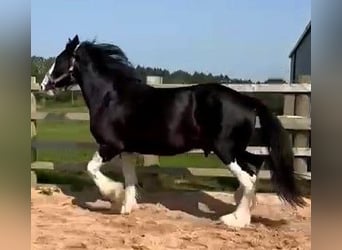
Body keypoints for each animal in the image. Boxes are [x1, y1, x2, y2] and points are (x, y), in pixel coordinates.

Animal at [41, 35, 306, 229]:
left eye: (59, 59)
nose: (44, 85)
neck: (110, 96)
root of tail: (249, 101)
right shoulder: (127, 149)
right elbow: (129, 178)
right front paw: (127, 207)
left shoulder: (110, 146)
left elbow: (92, 169)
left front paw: (113, 195)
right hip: (238, 149)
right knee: (255, 168)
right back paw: (243, 208)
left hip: (226, 150)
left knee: (248, 177)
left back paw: (234, 220)